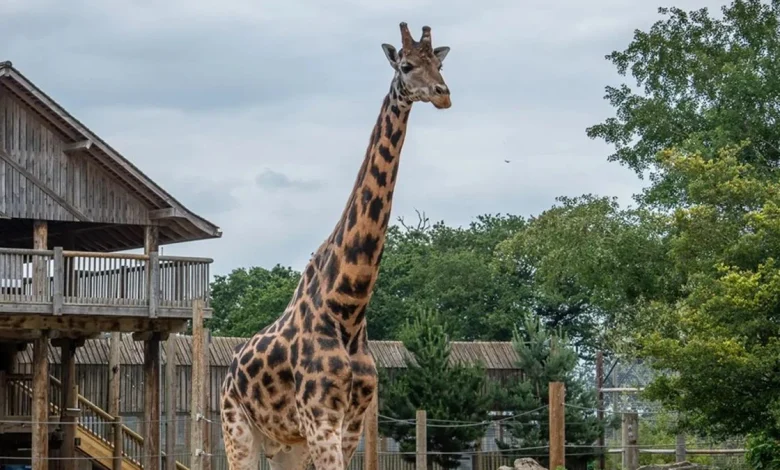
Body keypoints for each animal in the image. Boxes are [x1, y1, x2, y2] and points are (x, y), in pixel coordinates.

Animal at [219, 22, 452, 470]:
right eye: (406, 65)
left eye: (441, 63)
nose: (442, 93)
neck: (347, 309)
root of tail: (228, 371)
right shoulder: (320, 419)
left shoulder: (350, 424)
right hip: (237, 428)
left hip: (286, 445)